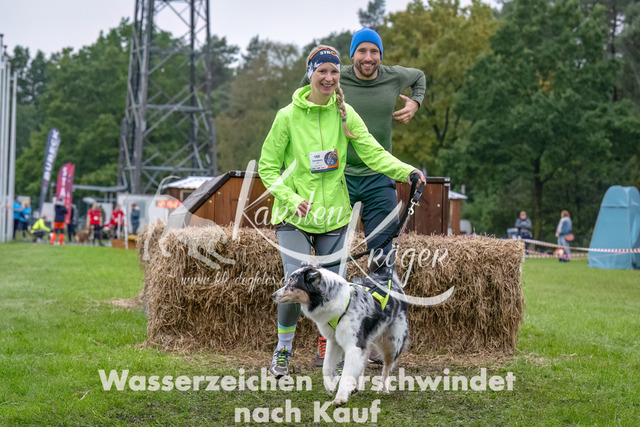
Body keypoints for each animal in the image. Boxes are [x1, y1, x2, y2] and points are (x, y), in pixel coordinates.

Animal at [272, 262, 409, 405]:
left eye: (291, 283)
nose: (273, 295)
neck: (335, 301)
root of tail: (389, 280)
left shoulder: (353, 346)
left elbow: (346, 374)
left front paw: (341, 397)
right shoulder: (334, 341)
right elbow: (326, 367)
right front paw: (330, 386)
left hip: (392, 343)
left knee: (387, 367)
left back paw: (383, 389)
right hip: (366, 340)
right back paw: (356, 386)